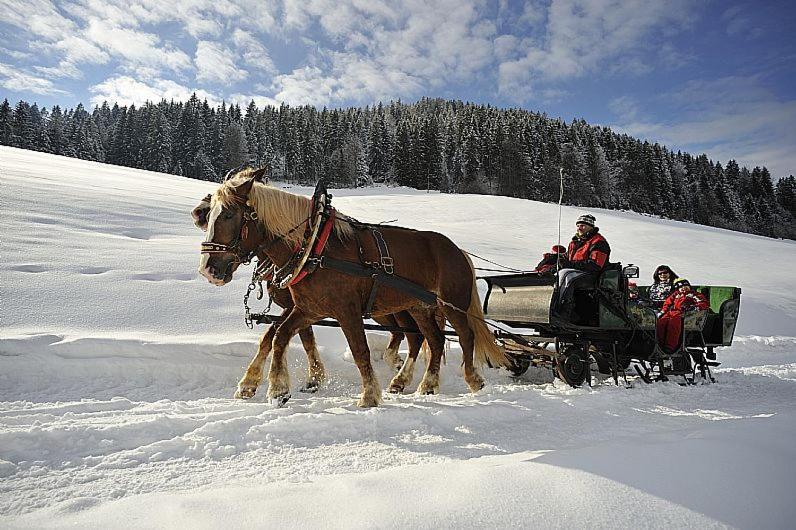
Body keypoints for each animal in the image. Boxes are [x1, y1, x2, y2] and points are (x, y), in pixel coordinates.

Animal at [190, 194, 426, 396]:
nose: (197, 211)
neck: (303, 253)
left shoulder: (296, 306)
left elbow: (287, 337)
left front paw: (310, 378)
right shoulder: (303, 307)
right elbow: (291, 337)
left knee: (412, 334)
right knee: (405, 332)